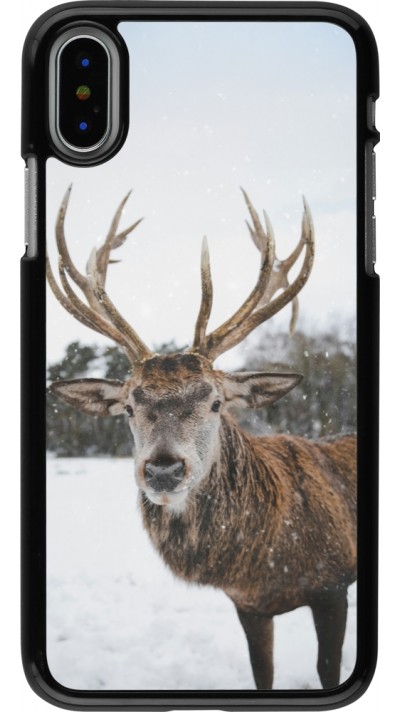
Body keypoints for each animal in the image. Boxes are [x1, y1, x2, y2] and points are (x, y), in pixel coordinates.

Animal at [47, 186, 356, 690]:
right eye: (129, 407)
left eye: (215, 402)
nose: (163, 469)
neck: (266, 562)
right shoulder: (248, 605)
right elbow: (262, 674)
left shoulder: (333, 584)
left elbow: (328, 669)